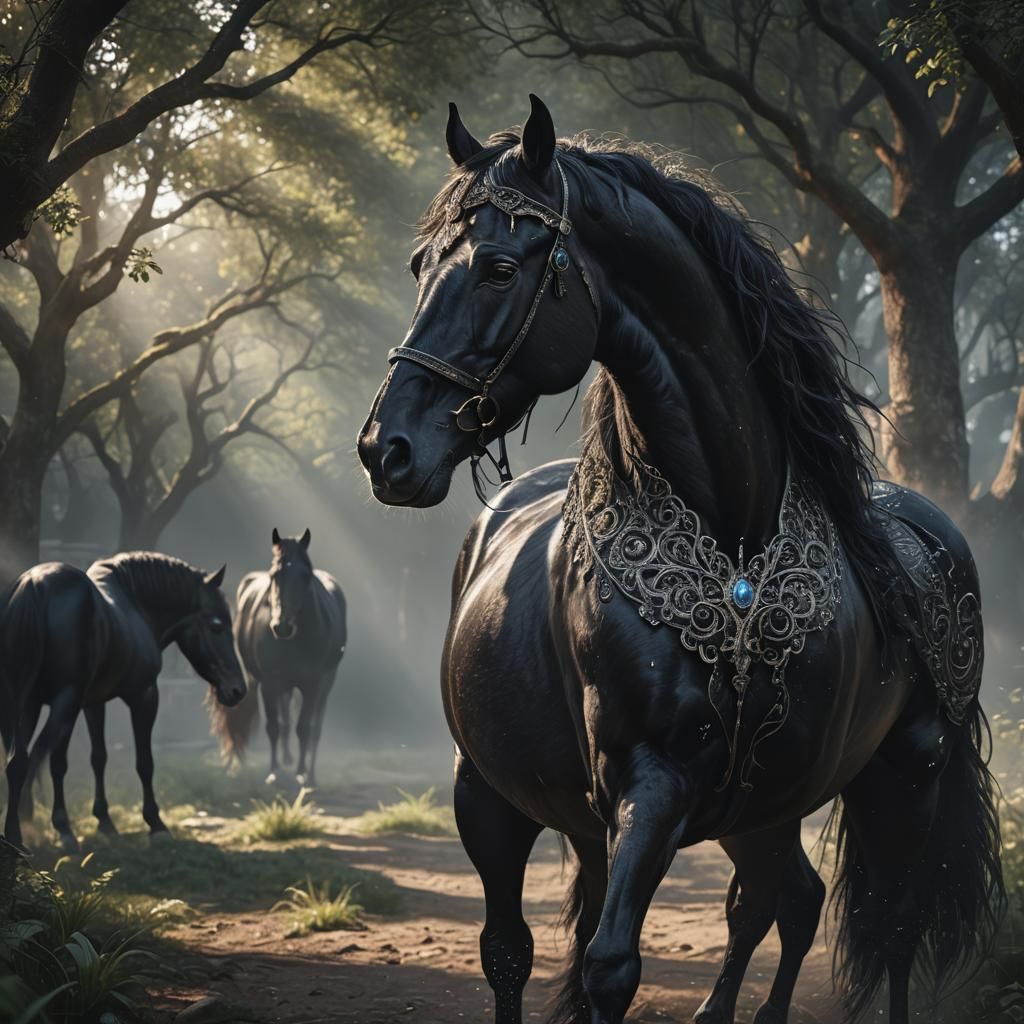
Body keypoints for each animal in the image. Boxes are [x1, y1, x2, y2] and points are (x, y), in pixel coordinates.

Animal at [0, 552, 246, 852]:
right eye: (217, 625)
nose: (237, 690)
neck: (137, 606)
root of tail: (34, 585)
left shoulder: (92, 703)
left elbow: (98, 757)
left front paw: (105, 822)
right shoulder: (145, 696)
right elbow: (144, 762)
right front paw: (156, 825)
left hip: (25, 704)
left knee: (18, 762)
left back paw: (17, 836)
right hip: (62, 703)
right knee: (38, 759)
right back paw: (45, 831)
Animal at [223, 528, 346, 787]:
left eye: (305, 575)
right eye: (274, 575)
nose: (282, 627)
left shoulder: (312, 684)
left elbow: (304, 728)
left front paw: (302, 773)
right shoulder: (270, 683)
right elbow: (274, 727)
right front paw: (274, 772)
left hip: (326, 681)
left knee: (315, 727)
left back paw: (310, 774)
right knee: (284, 720)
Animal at [357, 97, 1004, 1024]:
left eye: (497, 267)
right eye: (419, 266)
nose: (387, 449)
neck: (733, 545)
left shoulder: (679, 789)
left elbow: (619, 963)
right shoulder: (592, 789)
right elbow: (562, 958)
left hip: (898, 778)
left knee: (878, 923)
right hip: (572, 800)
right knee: (746, 906)